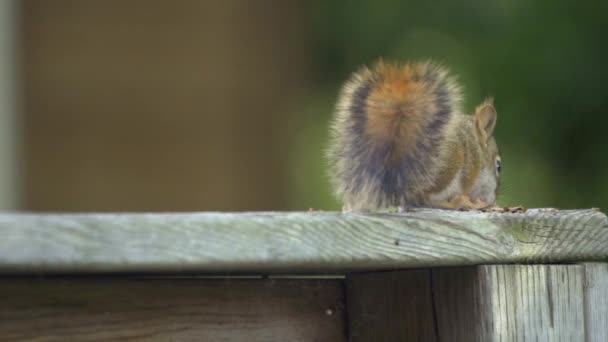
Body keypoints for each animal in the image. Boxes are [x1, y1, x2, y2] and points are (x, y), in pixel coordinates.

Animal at [326, 61, 502, 211]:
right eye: (499, 166)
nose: (493, 199)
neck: (475, 143)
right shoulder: (470, 167)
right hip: (448, 165)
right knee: (427, 199)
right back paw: (458, 202)